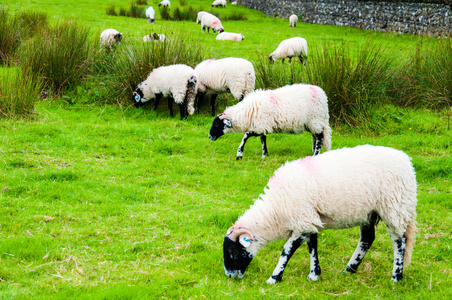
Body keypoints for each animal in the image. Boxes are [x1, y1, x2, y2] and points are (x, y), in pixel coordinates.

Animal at [224, 145, 418, 284]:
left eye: (233, 252)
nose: (229, 276)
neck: (276, 210)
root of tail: (407, 161)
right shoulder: (308, 220)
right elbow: (312, 246)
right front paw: (314, 275)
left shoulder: (302, 219)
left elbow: (287, 250)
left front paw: (274, 278)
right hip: (369, 212)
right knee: (367, 239)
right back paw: (349, 269)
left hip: (394, 207)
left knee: (399, 241)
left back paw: (396, 276)